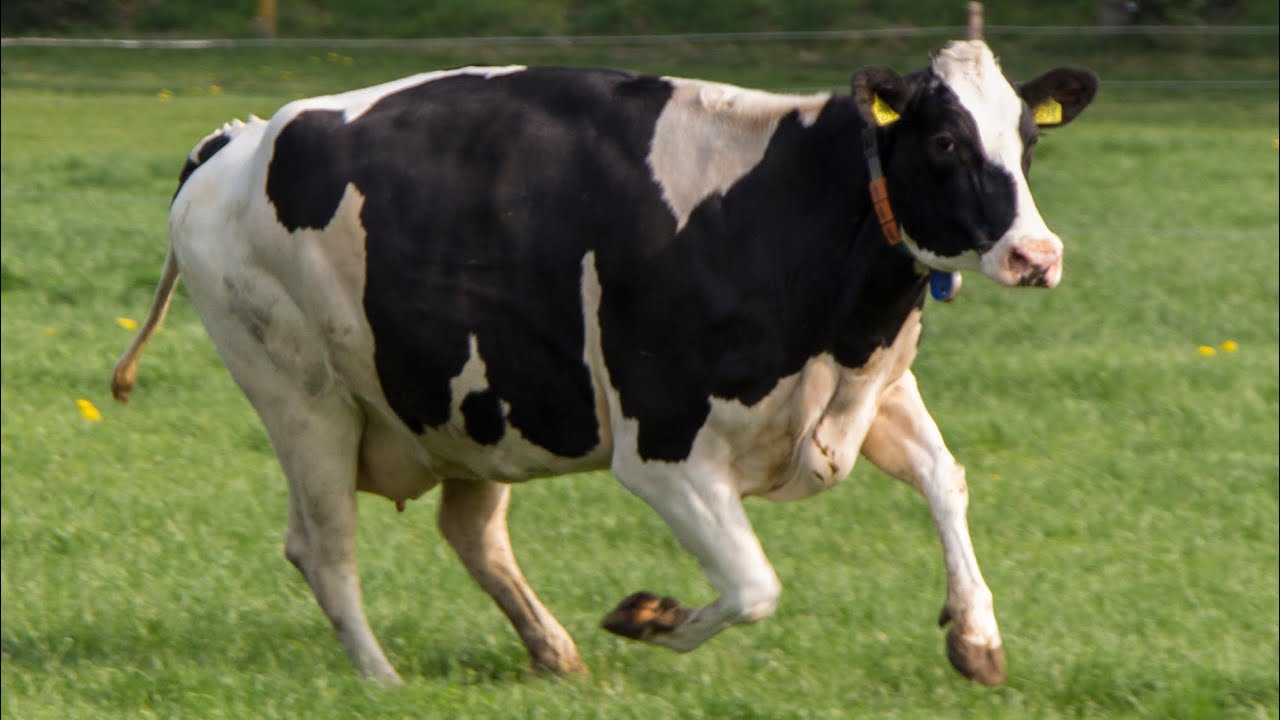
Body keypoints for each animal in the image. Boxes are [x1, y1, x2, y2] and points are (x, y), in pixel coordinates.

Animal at [112, 40, 1097, 686]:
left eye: (1027, 142)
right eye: (945, 142)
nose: (1036, 254)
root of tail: (236, 140)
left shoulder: (866, 390)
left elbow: (945, 480)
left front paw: (976, 637)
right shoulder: (663, 450)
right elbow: (753, 586)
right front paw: (649, 617)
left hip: (476, 403)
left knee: (471, 533)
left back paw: (552, 652)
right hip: (303, 397)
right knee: (324, 546)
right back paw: (383, 680)